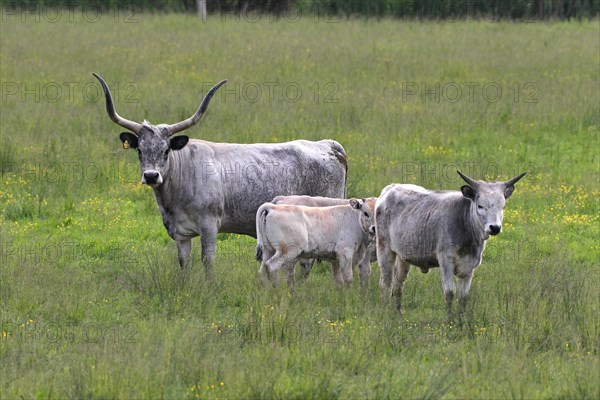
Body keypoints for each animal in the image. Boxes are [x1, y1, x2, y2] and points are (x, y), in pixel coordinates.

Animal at [93, 73, 346, 274]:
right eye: (140, 150)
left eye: (166, 150)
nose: (151, 176)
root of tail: (327, 144)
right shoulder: (180, 233)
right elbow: (184, 262)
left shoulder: (209, 226)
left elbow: (208, 260)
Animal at [376, 170, 524, 318]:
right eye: (480, 206)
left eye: (502, 207)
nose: (495, 228)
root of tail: (391, 188)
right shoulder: (446, 261)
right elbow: (449, 292)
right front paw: (449, 320)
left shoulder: (470, 266)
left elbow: (464, 297)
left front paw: (461, 321)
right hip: (384, 250)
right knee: (386, 283)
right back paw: (384, 313)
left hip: (403, 256)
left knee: (398, 284)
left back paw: (398, 314)